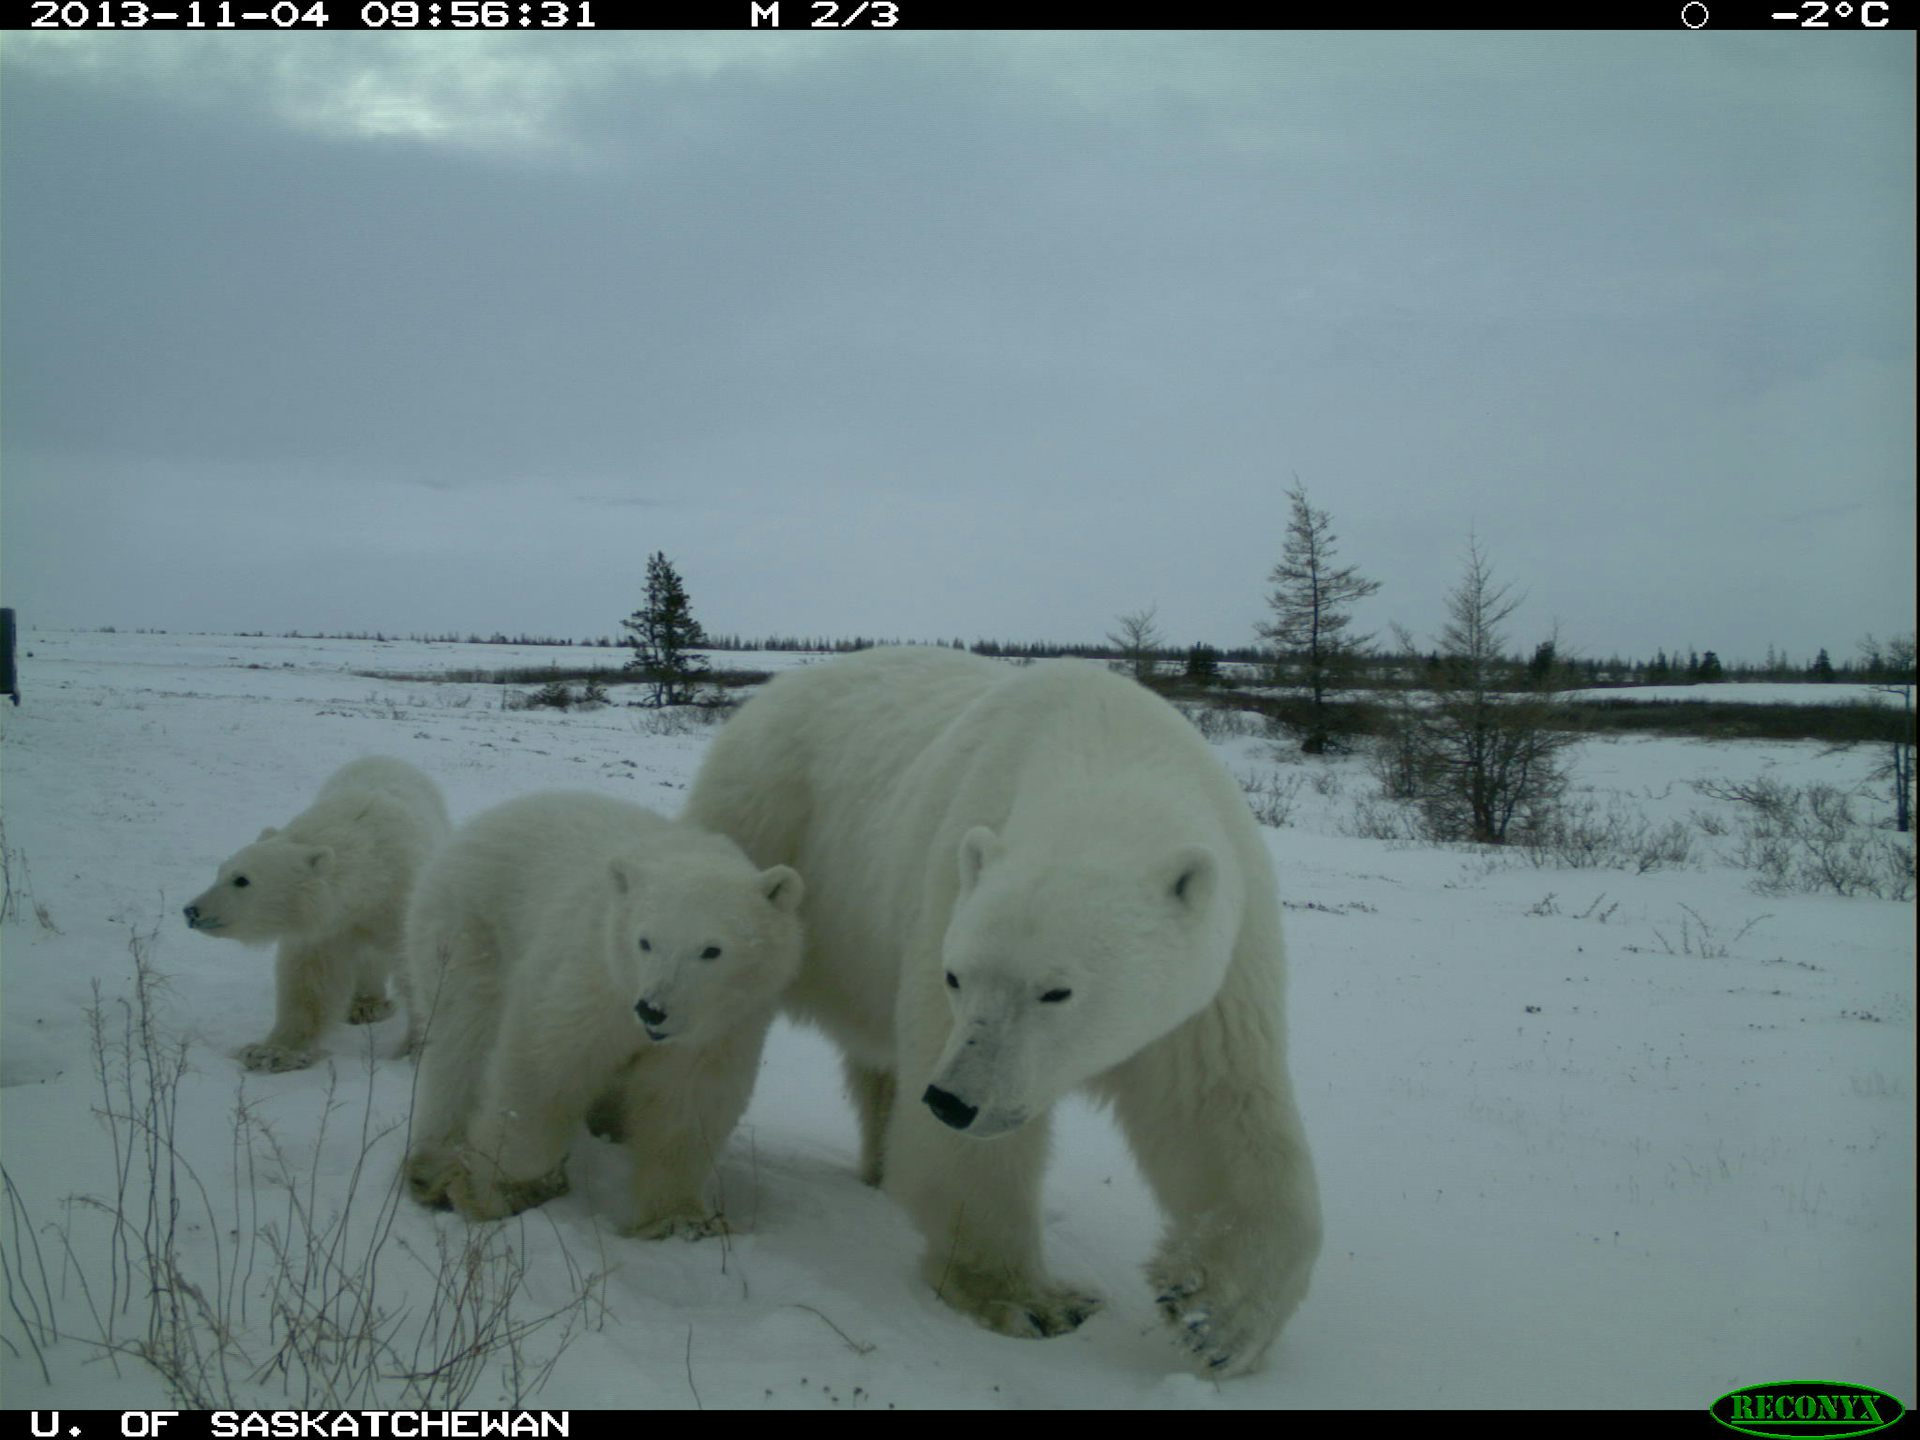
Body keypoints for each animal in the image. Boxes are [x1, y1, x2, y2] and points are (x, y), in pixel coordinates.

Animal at [184, 755, 452, 1073]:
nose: (192, 910)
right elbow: (310, 981)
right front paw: (270, 1052)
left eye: (242, 879)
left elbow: (417, 968)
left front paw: (417, 1049)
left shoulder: (400, 899)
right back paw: (364, 1004)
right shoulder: (326, 927)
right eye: (220, 871)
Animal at [400, 790, 805, 1234]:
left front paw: (680, 1220)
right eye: (645, 941)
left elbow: (684, 1104)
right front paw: (495, 1191)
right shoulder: (591, 979)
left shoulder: (721, 1026)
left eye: (711, 950)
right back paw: (433, 1168)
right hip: (469, 932)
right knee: (462, 1041)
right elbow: (543, 1071)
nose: (652, 1010)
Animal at [683, 646, 1322, 1377]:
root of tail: (770, 692)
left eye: (1056, 991)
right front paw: (1032, 1302)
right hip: (767, 836)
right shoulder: (947, 890)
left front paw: (1213, 1314)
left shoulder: (1217, 964)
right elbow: (972, 1152)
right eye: (956, 976)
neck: (1104, 752)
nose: (953, 1101)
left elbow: (1218, 1109)